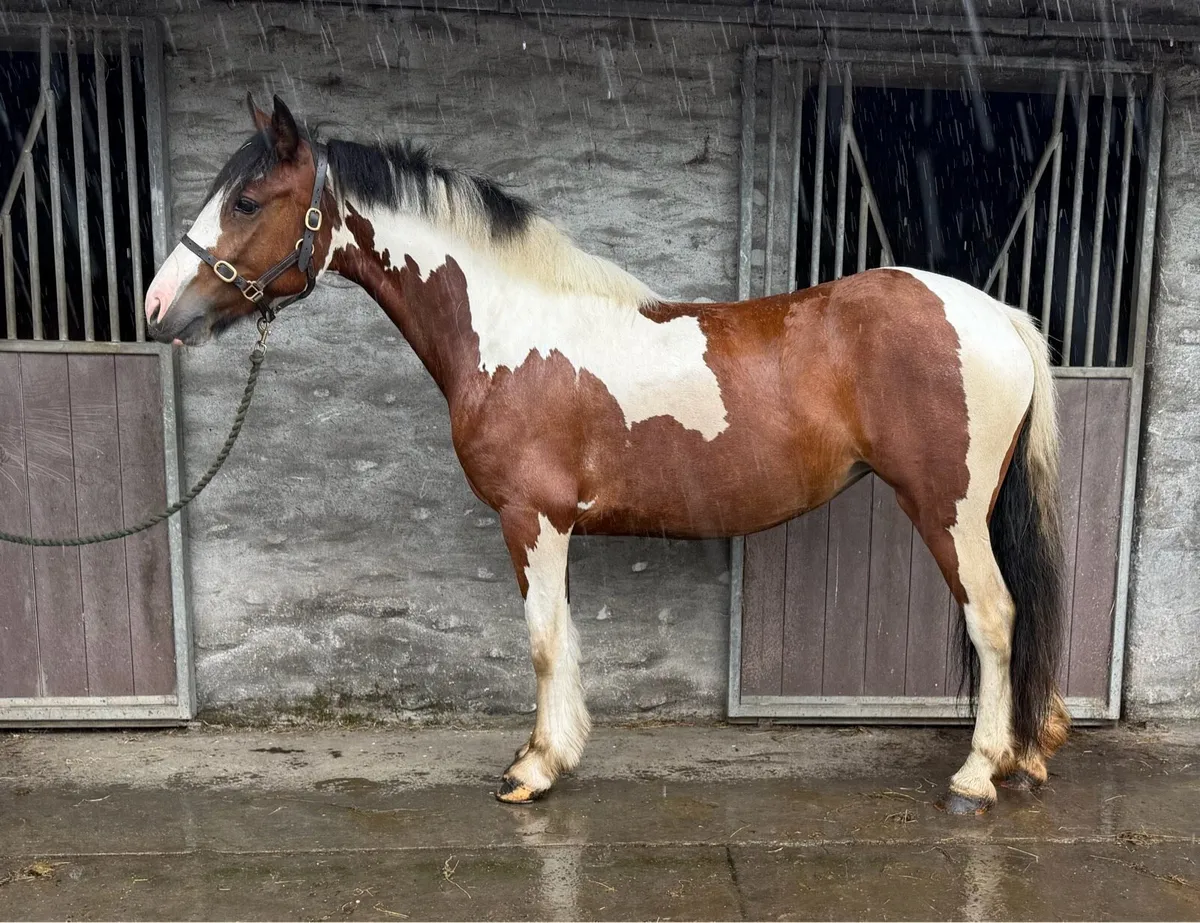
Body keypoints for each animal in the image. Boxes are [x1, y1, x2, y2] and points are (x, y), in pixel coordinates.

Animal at [144, 95, 1070, 814]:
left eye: (248, 200)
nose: (157, 308)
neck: (510, 328)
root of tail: (996, 314)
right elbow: (559, 635)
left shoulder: (534, 517)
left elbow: (545, 639)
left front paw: (535, 768)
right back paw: (1024, 755)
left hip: (948, 509)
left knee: (995, 616)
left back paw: (976, 776)